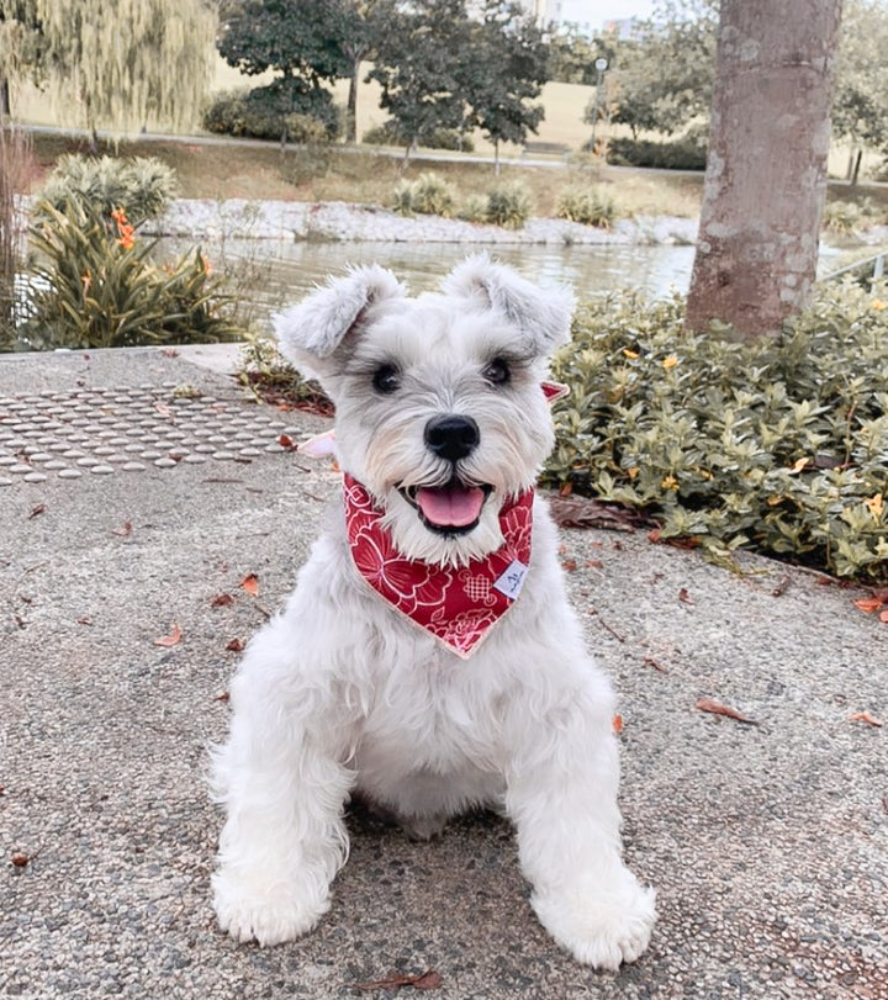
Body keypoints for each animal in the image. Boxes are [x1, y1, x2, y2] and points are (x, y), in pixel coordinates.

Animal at [210, 256, 656, 970]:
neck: (444, 584)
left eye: (500, 368)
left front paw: (598, 908)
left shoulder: (558, 710)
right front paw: (268, 892)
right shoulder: (297, 693)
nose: (452, 431)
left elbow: (576, 824)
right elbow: (280, 800)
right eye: (383, 376)